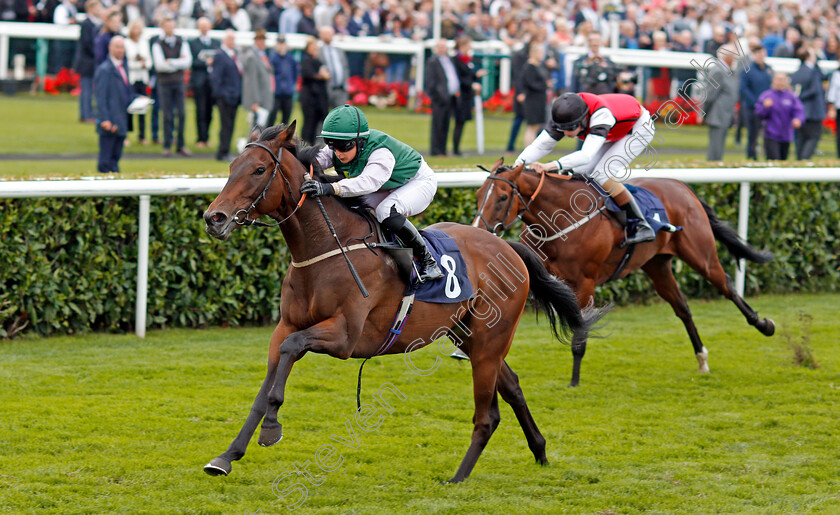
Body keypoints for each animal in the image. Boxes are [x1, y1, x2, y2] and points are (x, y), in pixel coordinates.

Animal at [199, 123, 604, 486]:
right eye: (232, 166)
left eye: (259, 170)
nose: (213, 218)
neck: (326, 248)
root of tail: (508, 247)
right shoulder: (286, 325)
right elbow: (266, 383)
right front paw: (226, 456)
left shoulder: (345, 336)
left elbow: (291, 349)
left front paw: (271, 428)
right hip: (470, 337)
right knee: (513, 387)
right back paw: (540, 451)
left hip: (490, 341)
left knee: (487, 415)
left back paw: (458, 477)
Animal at [472, 161, 776, 388]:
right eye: (477, 195)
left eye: (502, 197)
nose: (478, 230)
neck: (560, 219)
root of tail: (681, 186)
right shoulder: (541, 278)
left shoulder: (584, 282)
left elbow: (581, 328)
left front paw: (574, 381)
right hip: (658, 265)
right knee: (683, 307)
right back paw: (701, 358)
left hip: (701, 255)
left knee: (728, 287)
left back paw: (763, 324)